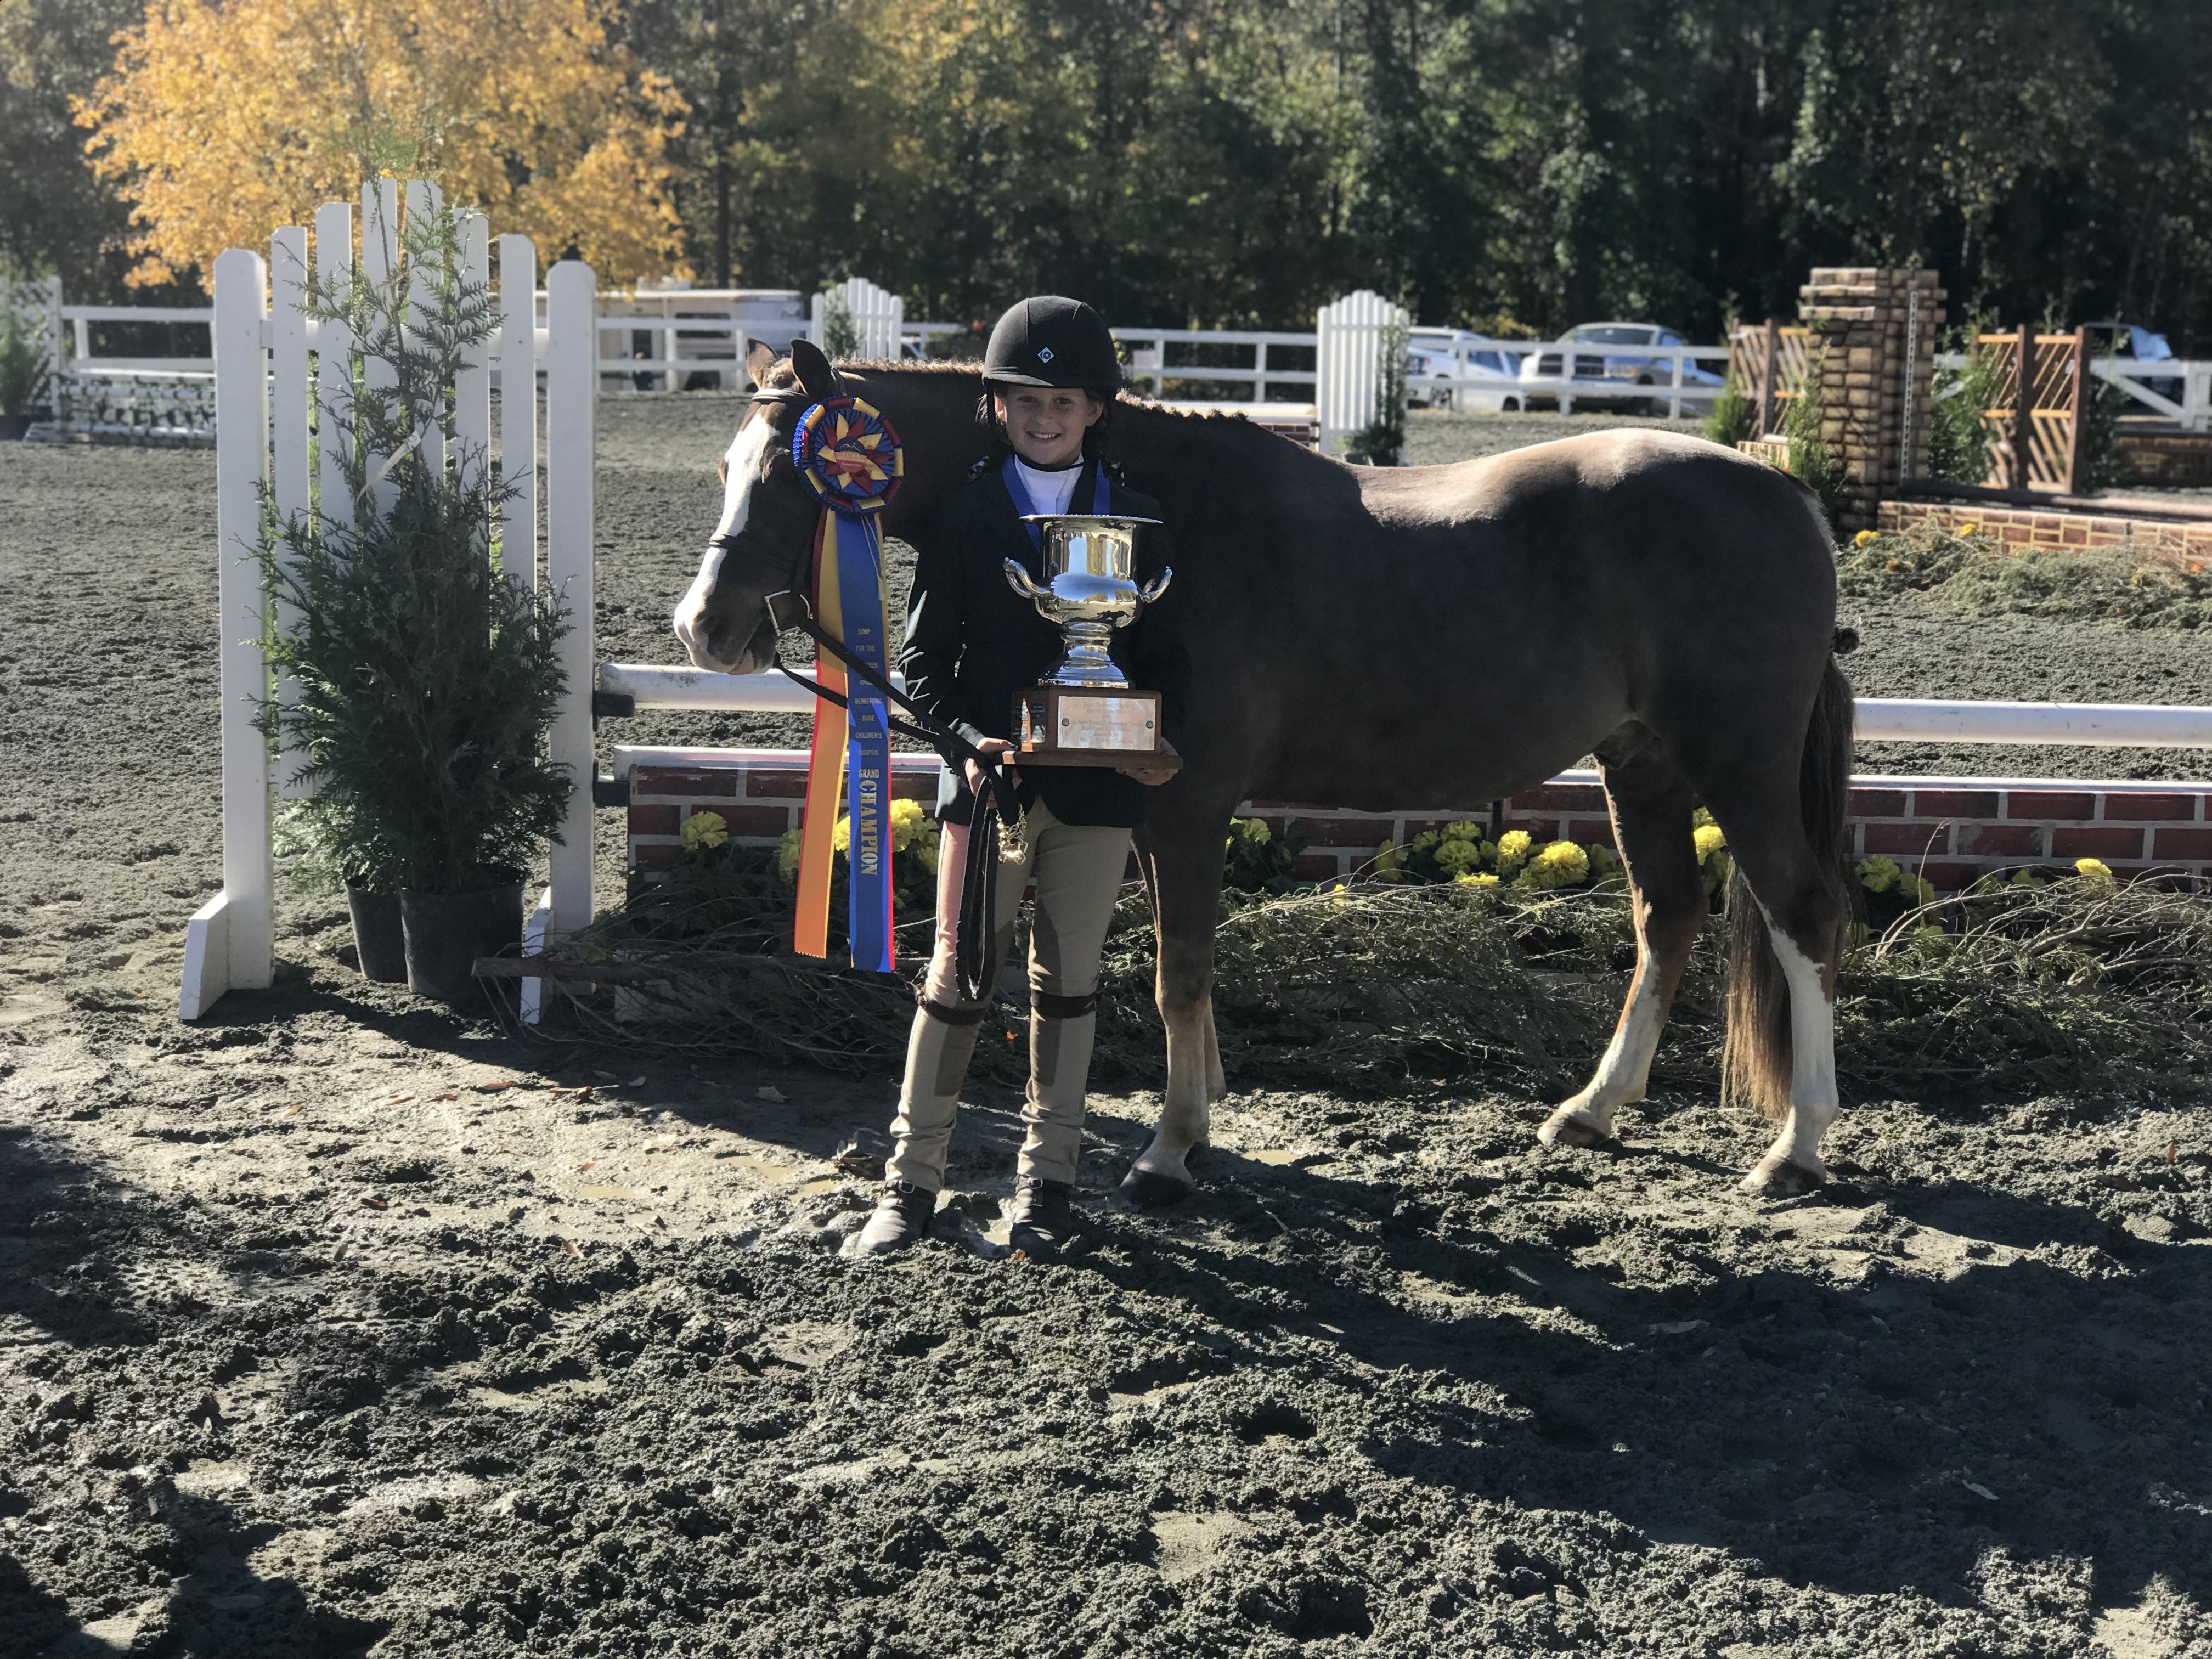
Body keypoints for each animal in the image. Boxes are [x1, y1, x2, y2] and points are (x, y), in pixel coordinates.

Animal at [674, 338, 1855, 1203]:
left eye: (785, 476)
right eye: (729, 469)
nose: (702, 627)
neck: (1157, 518)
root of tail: (1786, 493)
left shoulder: (1191, 805)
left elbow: (1180, 972)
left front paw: (1170, 1148)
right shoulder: (1153, 810)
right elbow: (1177, 970)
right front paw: (1199, 1116)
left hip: (1737, 761)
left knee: (1800, 914)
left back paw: (1796, 1148)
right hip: (1639, 760)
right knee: (1669, 914)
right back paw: (1593, 1112)